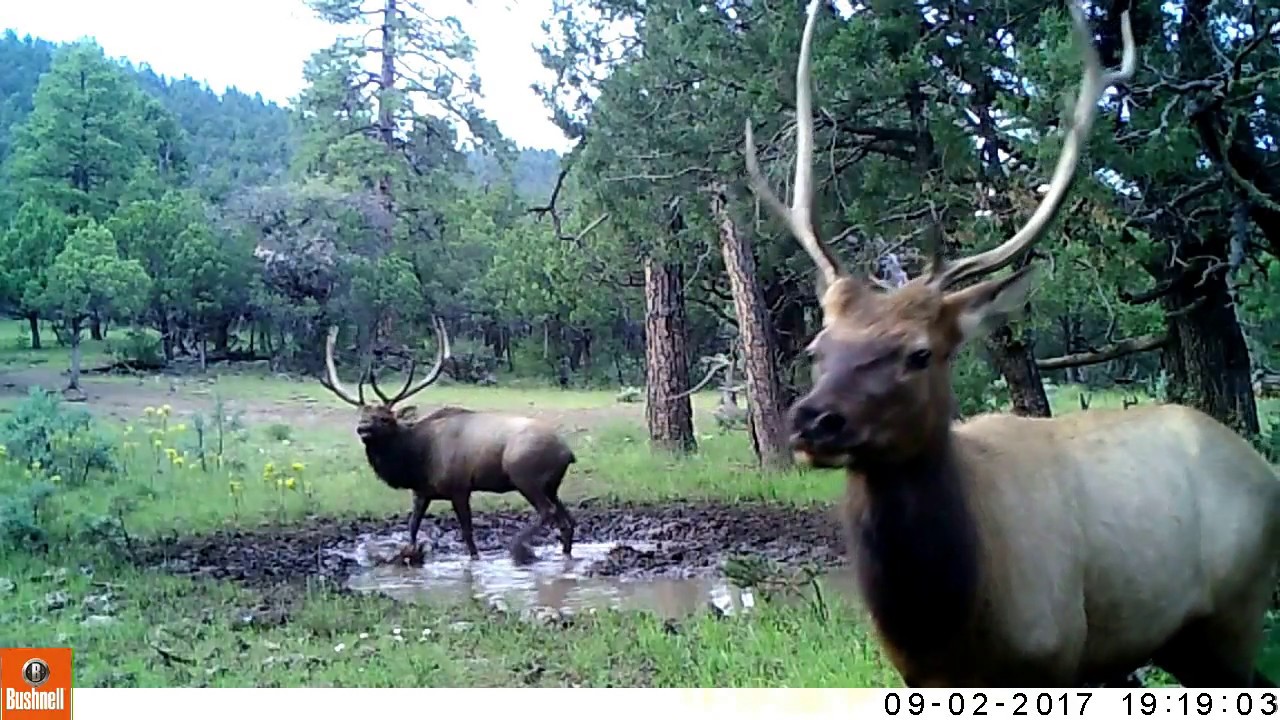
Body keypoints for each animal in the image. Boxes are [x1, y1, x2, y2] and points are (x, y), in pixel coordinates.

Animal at [317, 317, 577, 567]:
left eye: (384, 418)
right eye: (362, 416)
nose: (362, 429)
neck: (416, 460)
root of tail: (568, 453)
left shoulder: (459, 488)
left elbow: (468, 535)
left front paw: (474, 559)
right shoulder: (421, 492)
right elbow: (412, 528)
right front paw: (410, 555)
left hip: (524, 475)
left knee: (548, 511)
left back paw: (517, 548)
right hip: (550, 485)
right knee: (568, 521)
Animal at [743, 0, 1280, 688]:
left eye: (920, 353)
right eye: (818, 349)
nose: (813, 420)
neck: (952, 627)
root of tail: (1262, 468)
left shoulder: (1055, 655)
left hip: (1235, 614)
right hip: (1171, 641)